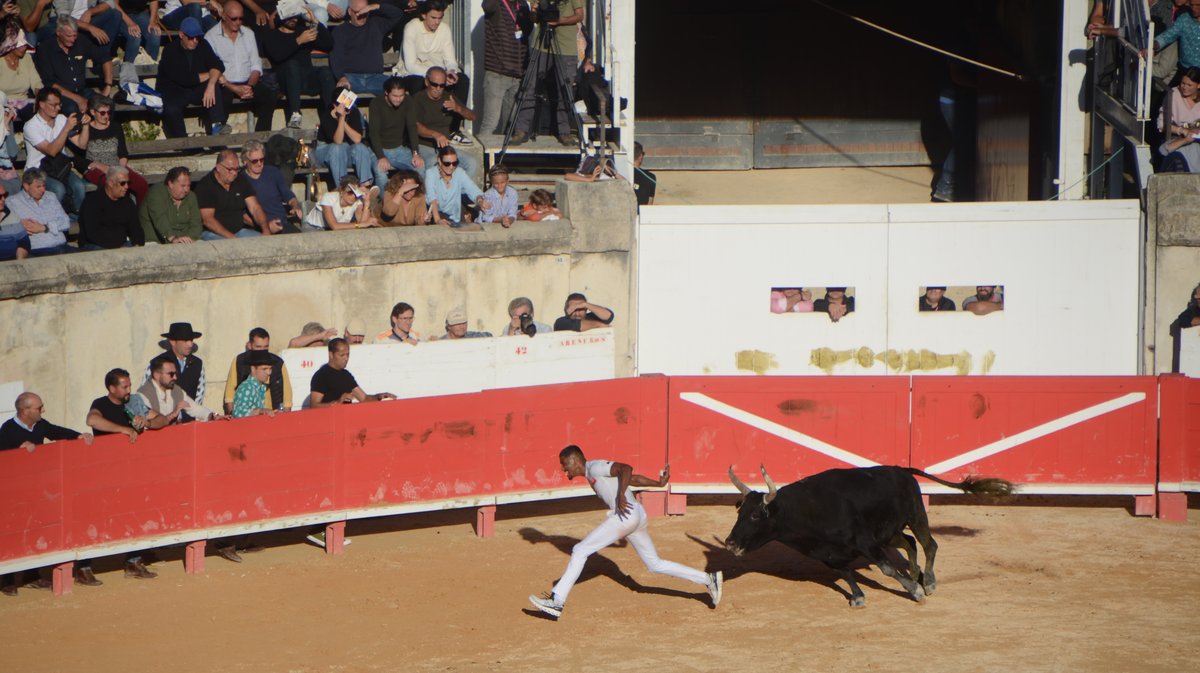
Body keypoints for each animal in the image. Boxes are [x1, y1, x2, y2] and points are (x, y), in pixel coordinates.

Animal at [720, 465, 1012, 607]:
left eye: (756, 515)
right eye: (739, 512)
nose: (730, 543)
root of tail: (901, 470)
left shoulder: (866, 543)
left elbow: (887, 569)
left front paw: (915, 590)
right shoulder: (829, 555)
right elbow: (846, 573)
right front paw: (858, 597)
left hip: (916, 515)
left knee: (929, 544)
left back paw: (927, 581)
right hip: (890, 532)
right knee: (910, 543)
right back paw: (915, 572)